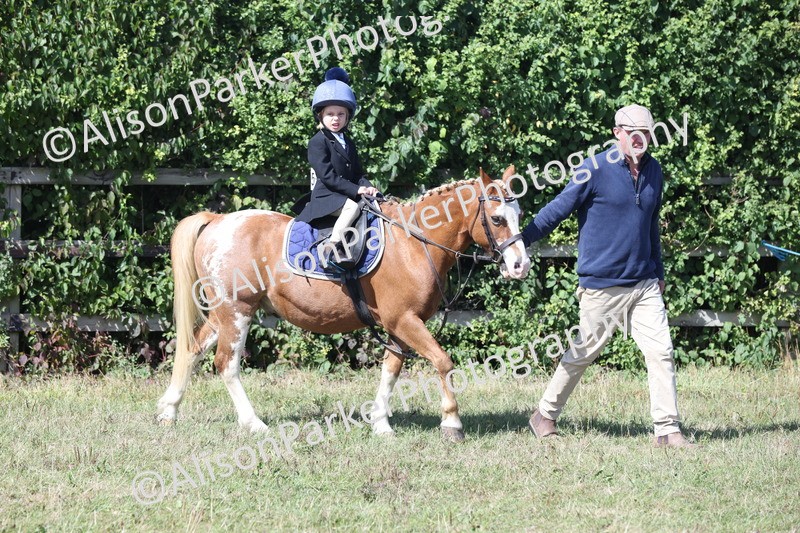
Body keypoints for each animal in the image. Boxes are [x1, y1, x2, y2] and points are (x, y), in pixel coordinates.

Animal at [156, 166, 531, 441]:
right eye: (497, 219)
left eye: (519, 213)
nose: (520, 266)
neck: (413, 242)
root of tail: (218, 220)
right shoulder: (404, 320)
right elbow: (443, 361)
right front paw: (452, 423)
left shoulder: (400, 325)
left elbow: (391, 370)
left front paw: (380, 424)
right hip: (237, 312)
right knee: (226, 364)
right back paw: (253, 423)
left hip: (222, 315)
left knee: (192, 350)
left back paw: (169, 411)